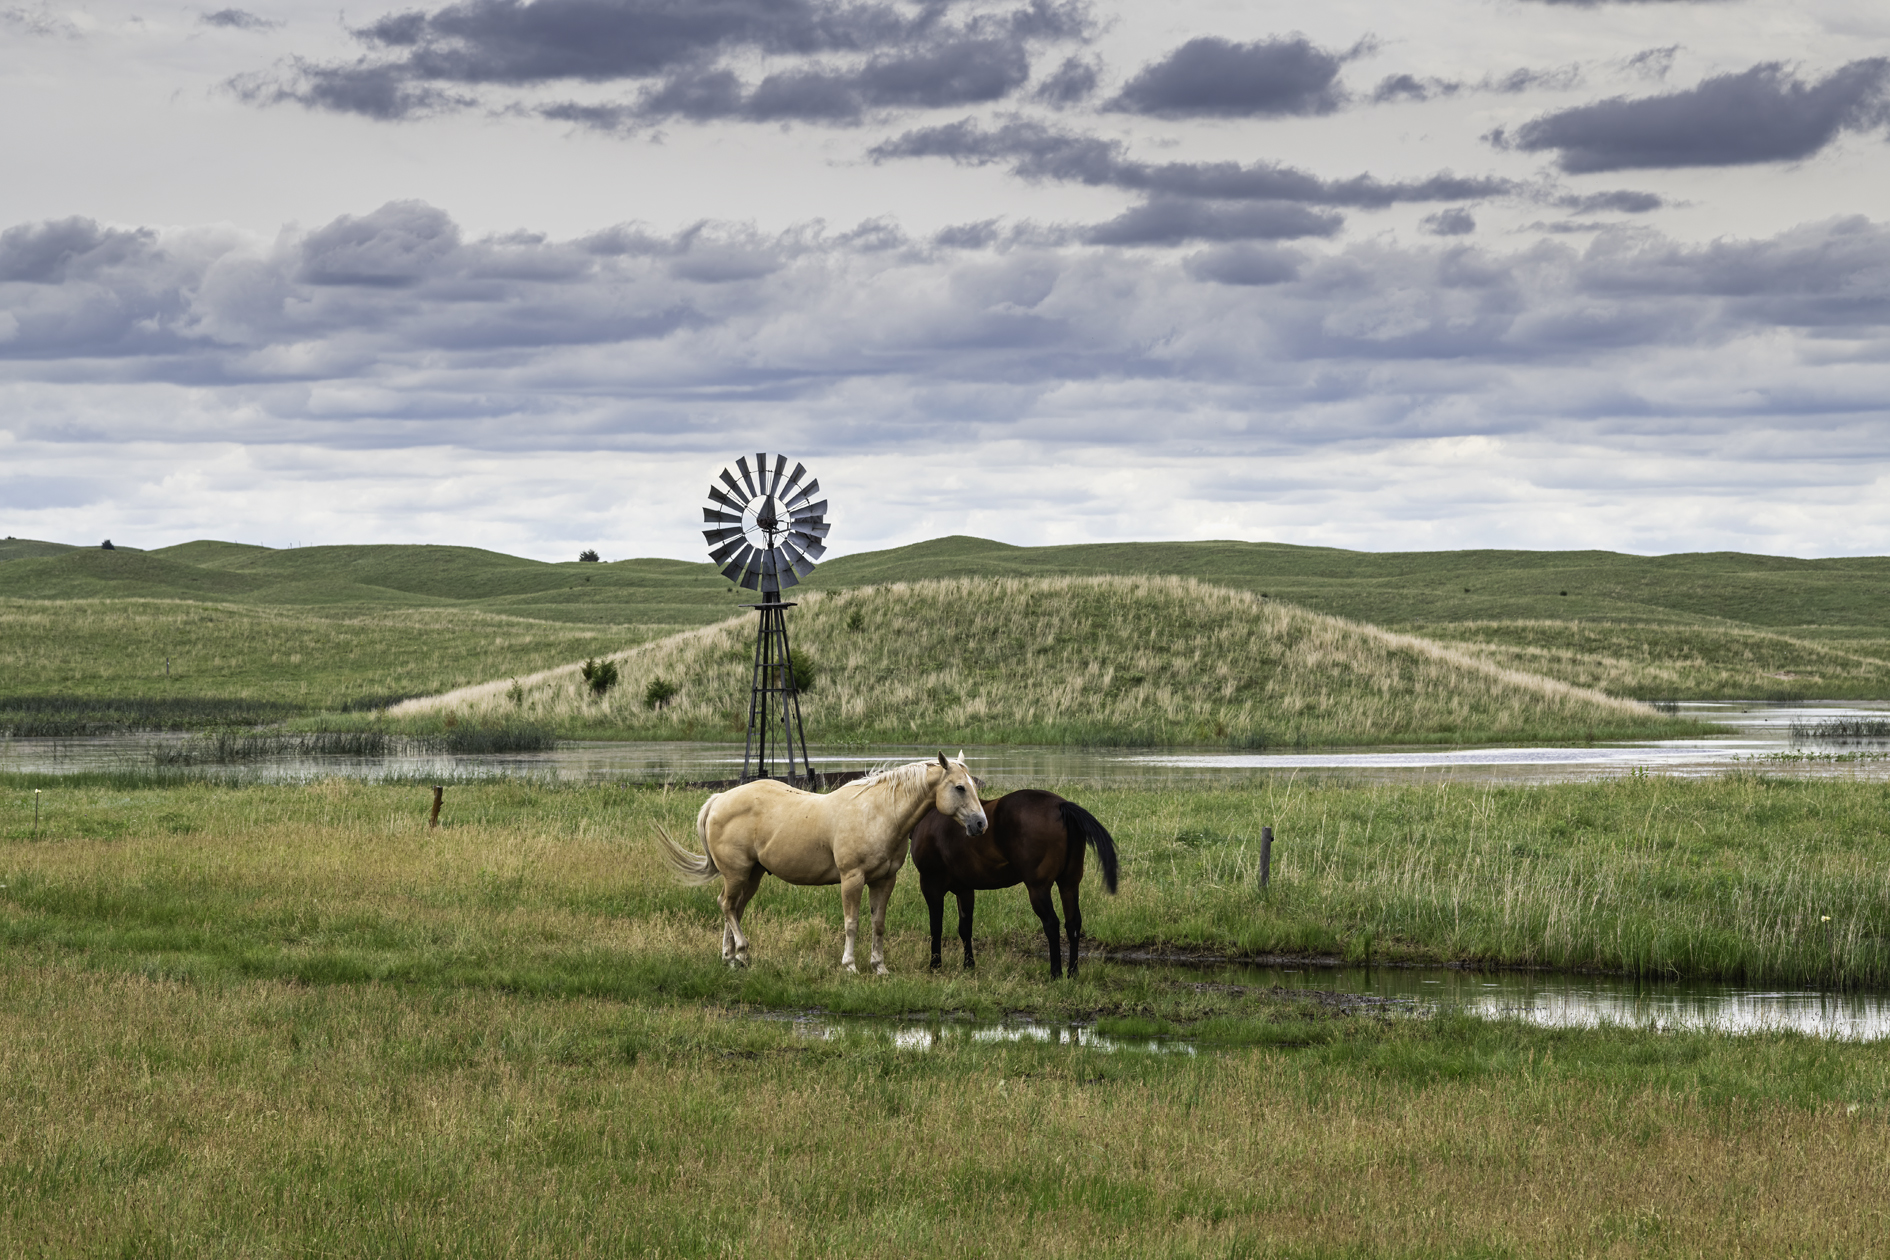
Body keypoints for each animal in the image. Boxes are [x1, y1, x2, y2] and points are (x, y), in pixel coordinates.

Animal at [657, 759, 990, 974]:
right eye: (960, 788)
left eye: (973, 786)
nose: (980, 824)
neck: (879, 813)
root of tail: (719, 799)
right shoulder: (852, 878)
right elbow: (852, 923)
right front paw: (850, 966)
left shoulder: (884, 881)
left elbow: (878, 924)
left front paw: (879, 967)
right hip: (737, 874)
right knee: (726, 905)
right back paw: (741, 950)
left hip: (751, 876)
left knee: (733, 908)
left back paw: (730, 958)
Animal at [907, 793, 1111, 982]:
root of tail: (1060, 805)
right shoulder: (965, 890)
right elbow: (965, 928)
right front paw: (968, 964)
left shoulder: (930, 885)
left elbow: (936, 927)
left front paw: (935, 965)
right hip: (1069, 884)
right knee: (1073, 923)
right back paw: (1072, 972)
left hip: (1038, 888)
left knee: (1052, 924)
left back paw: (1055, 972)